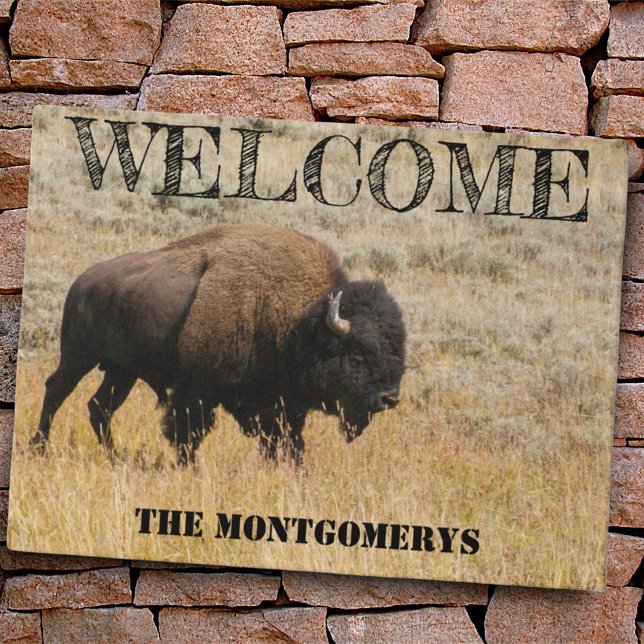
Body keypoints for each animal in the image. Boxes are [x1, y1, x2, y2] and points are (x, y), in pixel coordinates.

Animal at [31, 224, 406, 465]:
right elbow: (187, 432)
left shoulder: (282, 405)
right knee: (56, 390)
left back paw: (115, 457)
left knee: (99, 408)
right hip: (79, 356)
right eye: (357, 354)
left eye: (396, 351)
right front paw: (187, 468)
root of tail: (82, 281)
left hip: (122, 371)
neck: (301, 322)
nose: (389, 398)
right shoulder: (199, 390)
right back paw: (39, 448)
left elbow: (287, 442)